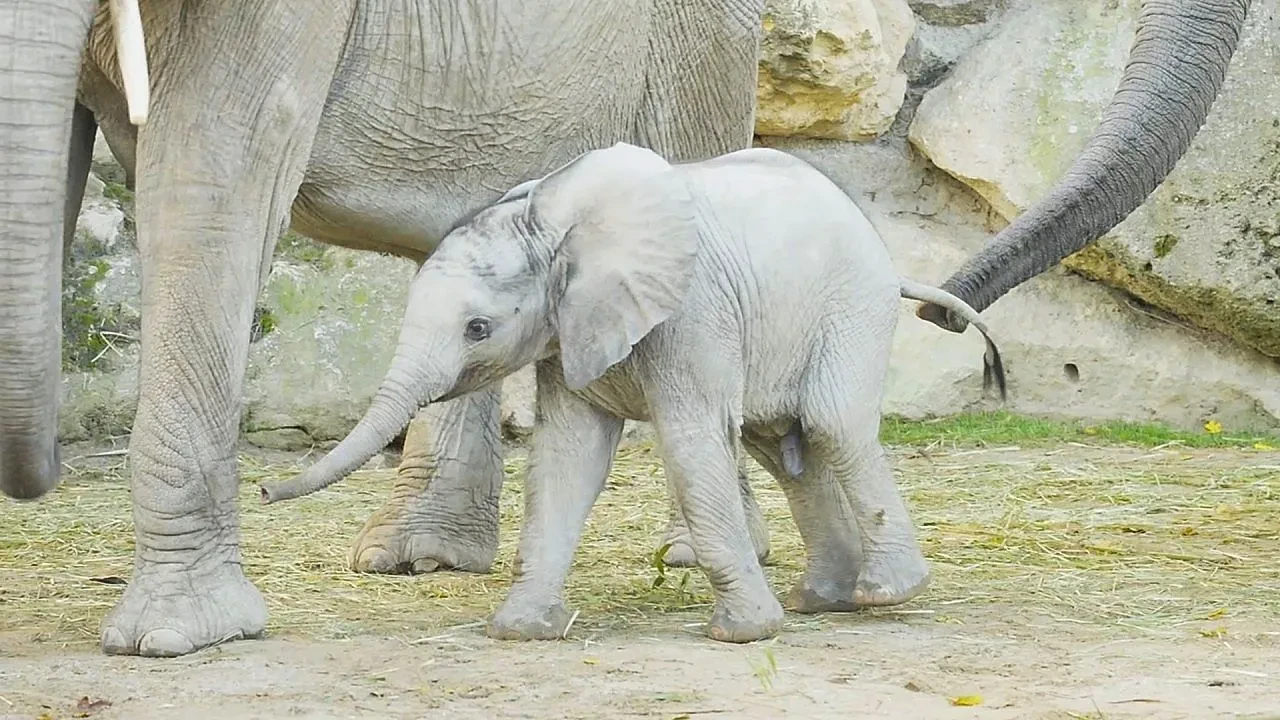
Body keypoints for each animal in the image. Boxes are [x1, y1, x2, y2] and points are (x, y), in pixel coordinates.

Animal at [0, 0, 773, 656]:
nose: (266, 491)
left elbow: (211, 173)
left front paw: (173, 637)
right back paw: (417, 557)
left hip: (695, 48)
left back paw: (688, 554)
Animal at [259, 143, 1007, 642]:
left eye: (477, 328)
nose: (262, 490)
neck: (554, 220)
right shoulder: (566, 331)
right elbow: (568, 456)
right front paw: (520, 630)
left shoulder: (692, 312)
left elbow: (690, 442)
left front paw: (742, 635)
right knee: (785, 450)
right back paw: (818, 602)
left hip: (850, 310)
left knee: (831, 426)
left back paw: (885, 594)